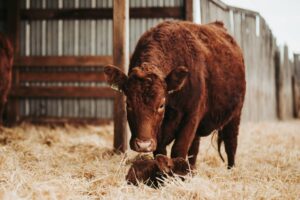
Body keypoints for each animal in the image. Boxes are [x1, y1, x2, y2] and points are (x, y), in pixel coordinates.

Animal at [104, 20, 245, 168]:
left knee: (231, 144)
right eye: (128, 104)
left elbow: (179, 149)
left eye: (161, 105)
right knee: (194, 149)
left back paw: (231, 169)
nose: (143, 145)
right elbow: (160, 153)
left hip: (235, 114)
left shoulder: (192, 116)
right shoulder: (159, 135)